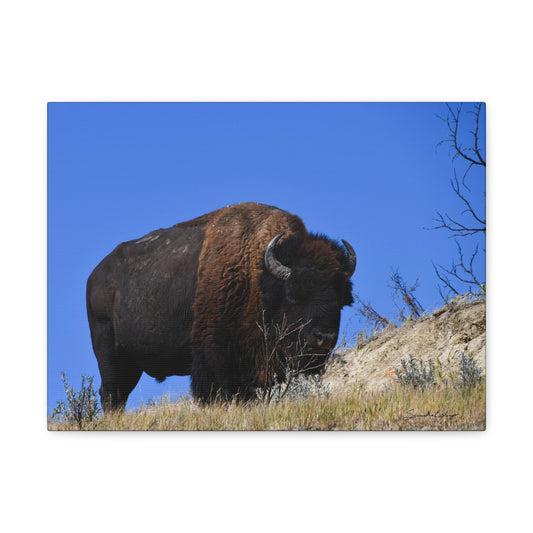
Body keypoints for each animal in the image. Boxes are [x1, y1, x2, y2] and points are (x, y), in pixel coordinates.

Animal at [86, 202, 354, 410]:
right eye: (293, 294)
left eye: (340, 298)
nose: (324, 338)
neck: (258, 277)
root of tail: (95, 275)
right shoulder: (215, 357)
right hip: (109, 350)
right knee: (111, 393)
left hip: (131, 362)